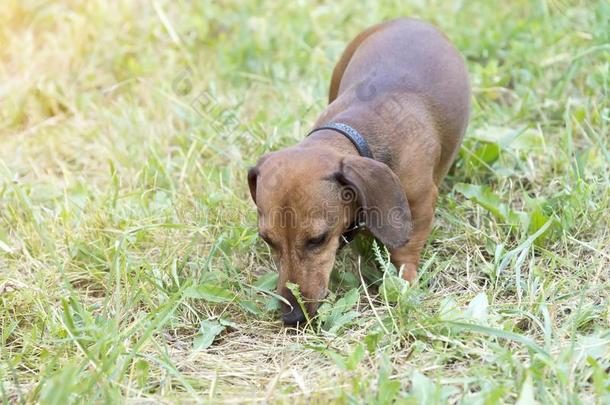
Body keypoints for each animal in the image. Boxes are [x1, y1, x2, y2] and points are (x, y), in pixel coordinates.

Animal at [247, 18, 470, 326]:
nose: (293, 317)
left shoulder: (420, 202)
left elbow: (405, 250)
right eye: (267, 239)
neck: (357, 130)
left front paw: (405, 286)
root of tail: (410, 20)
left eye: (318, 239)